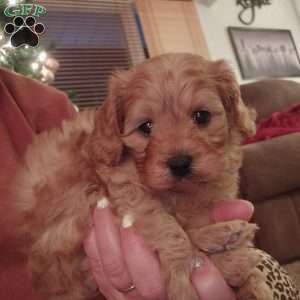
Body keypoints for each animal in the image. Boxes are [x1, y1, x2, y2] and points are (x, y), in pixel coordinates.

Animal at [13, 54, 298, 300]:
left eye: (201, 116)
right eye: (146, 127)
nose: (179, 163)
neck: (182, 193)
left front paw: (253, 286)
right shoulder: (119, 190)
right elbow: (169, 229)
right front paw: (185, 281)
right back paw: (231, 255)